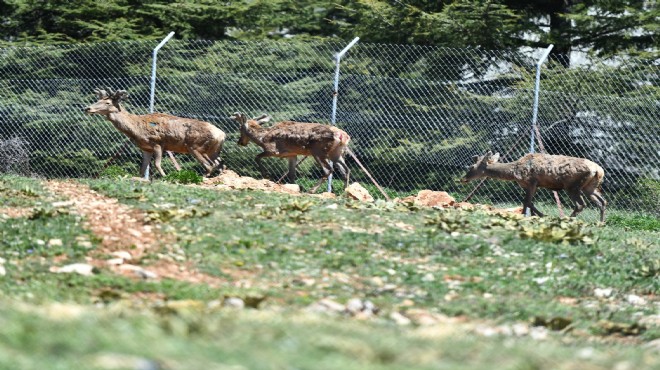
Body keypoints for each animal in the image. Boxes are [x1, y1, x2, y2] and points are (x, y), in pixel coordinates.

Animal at [84, 88, 227, 178]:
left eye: (107, 102)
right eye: (98, 100)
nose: (87, 108)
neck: (136, 129)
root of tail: (222, 134)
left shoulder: (158, 143)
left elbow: (157, 164)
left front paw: (165, 177)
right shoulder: (145, 148)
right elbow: (142, 170)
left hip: (195, 146)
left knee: (210, 166)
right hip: (213, 150)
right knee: (221, 164)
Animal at [458, 151, 608, 221]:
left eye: (471, 167)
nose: (463, 179)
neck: (514, 172)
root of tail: (598, 170)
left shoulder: (531, 182)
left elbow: (527, 202)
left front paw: (536, 215)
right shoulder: (531, 185)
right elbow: (528, 202)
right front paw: (532, 215)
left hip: (572, 186)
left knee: (581, 204)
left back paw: (566, 219)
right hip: (590, 187)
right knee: (602, 201)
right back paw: (601, 223)